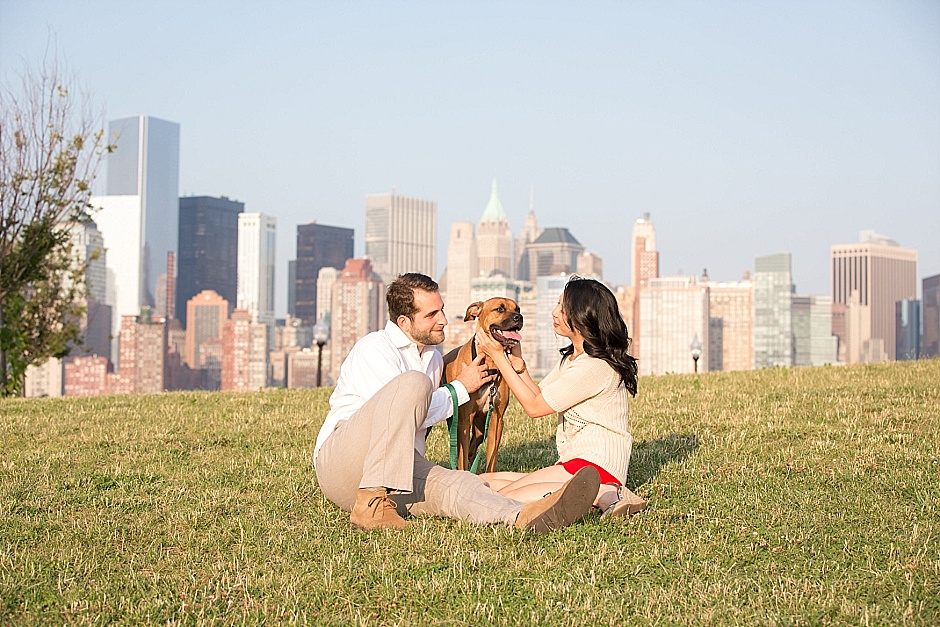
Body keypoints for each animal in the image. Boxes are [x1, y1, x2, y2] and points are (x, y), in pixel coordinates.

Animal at [440, 296, 520, 474]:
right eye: (500, 309)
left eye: (517, 309)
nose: (519, 317)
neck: (489, 362)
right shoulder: (464, 420)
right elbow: (461, 457)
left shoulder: (497, 419)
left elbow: (491, 457)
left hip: (481, 427)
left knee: (472, 449)